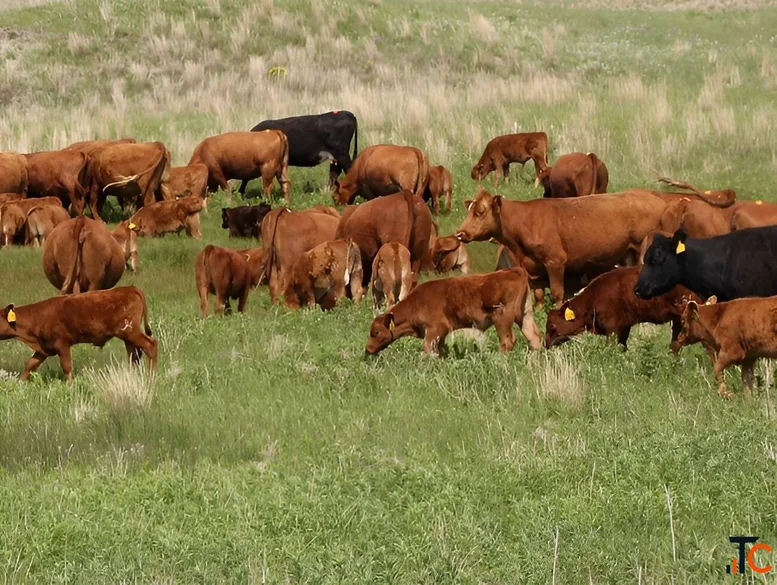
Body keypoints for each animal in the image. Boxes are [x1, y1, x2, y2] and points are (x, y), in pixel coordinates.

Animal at [0, 286, 157, 381]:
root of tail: (130, 288)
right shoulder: (44, 348)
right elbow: (30, 365)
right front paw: (19, 384)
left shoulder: (62, 344)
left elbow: (67, 367)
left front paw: (70, 387)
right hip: (128, 337)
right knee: (134, 356)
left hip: (131, 332)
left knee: (151, 345)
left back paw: (151, 376)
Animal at [365, 267, 542, 356]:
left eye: (376, 332)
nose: (368, 349)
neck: (416, 303)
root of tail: (512, 270)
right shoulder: (441, 334)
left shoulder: (435, 330)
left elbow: (428, 349)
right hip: (525, 316)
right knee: (533, 337)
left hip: (503, 320)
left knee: (507, 341)